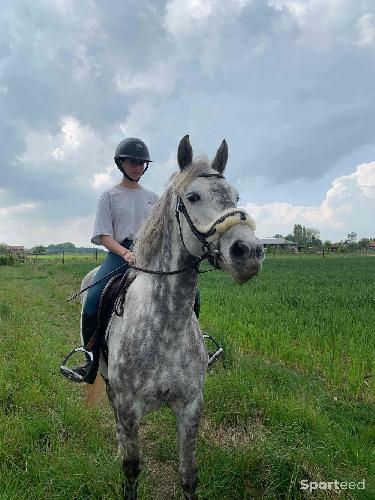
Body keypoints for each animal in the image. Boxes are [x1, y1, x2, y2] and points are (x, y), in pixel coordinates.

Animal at [82, 135, 264, 498]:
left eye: (236, 196)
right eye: (192, 197)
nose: (248, 252)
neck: (164, 326)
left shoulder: (190, 406)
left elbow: (189, 475)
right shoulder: (128, 407)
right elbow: (132, 468)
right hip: (108, 383)